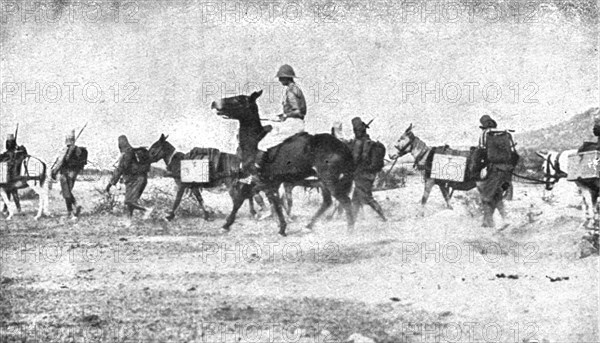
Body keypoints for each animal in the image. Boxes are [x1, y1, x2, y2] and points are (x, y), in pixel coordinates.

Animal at [210, 90, 354, 238]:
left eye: (238, 100)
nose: (214, 103)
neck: (255, 142)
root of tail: (343, 146)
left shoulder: (264, 181)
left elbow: (268, 201)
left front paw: (282, 227)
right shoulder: (266, 182)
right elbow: (249, 199)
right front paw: (226, 226)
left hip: (330, 179)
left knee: (345, 201)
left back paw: (349, 231)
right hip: (324, 181)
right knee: (328, 201)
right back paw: (308, 226)